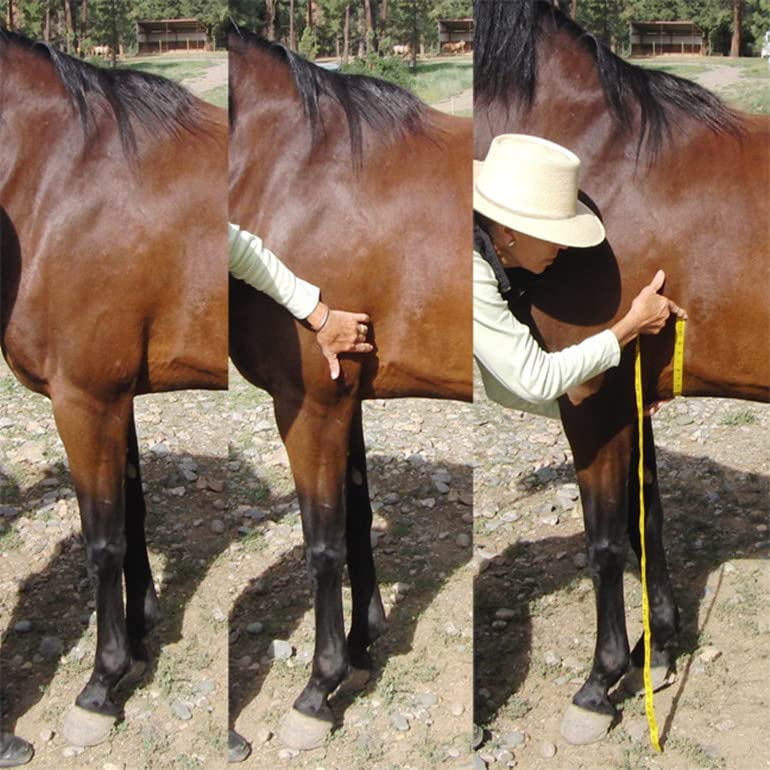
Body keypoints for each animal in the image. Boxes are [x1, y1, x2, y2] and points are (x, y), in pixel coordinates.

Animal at [0, 29, 227, 746]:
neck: (59, 176)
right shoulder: (116, 397)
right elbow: (133, 513)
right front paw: (143, 630)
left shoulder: (84, 400)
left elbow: (102, 540)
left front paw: (102, 683)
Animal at [227, 29, 472, 750]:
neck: (296, 172)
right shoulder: (347, 400)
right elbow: (357, 519)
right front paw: (364, 649)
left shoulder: (310, 407)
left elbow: (323, 542)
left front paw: (320, 687)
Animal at [474, 0, 769, 745]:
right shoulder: (633, 395)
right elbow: (648, 517)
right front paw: (657, 648)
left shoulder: (592, 399)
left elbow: (606, 539)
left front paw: (598, 682)